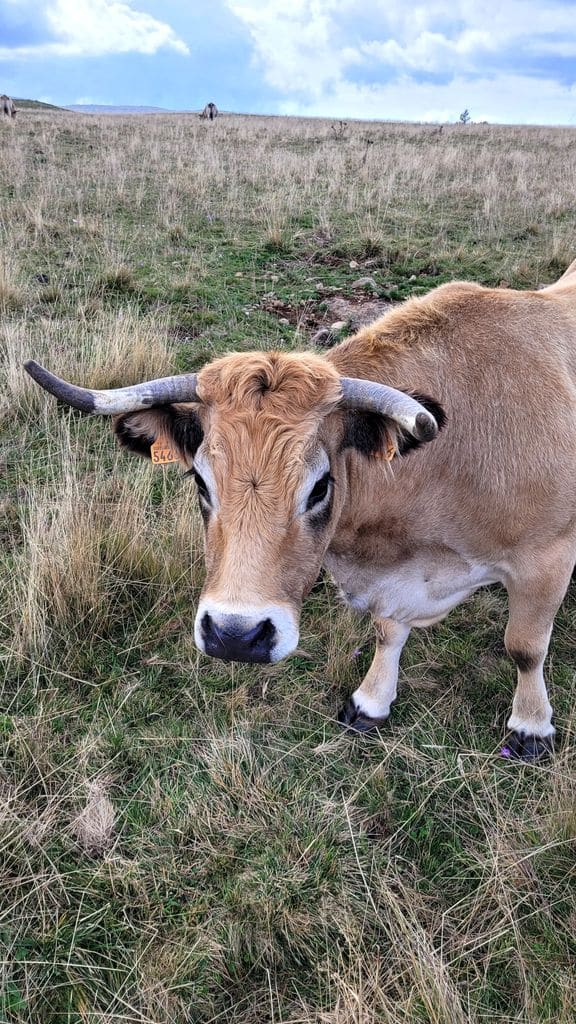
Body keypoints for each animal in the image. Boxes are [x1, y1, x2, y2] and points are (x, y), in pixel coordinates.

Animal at [25, 260, 576, 761]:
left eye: (319, 487)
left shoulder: (546, 561)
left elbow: (525, 646)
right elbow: (387, 630)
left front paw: (530, 726)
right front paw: (372, 701)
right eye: (201, 482)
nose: (236, 636)